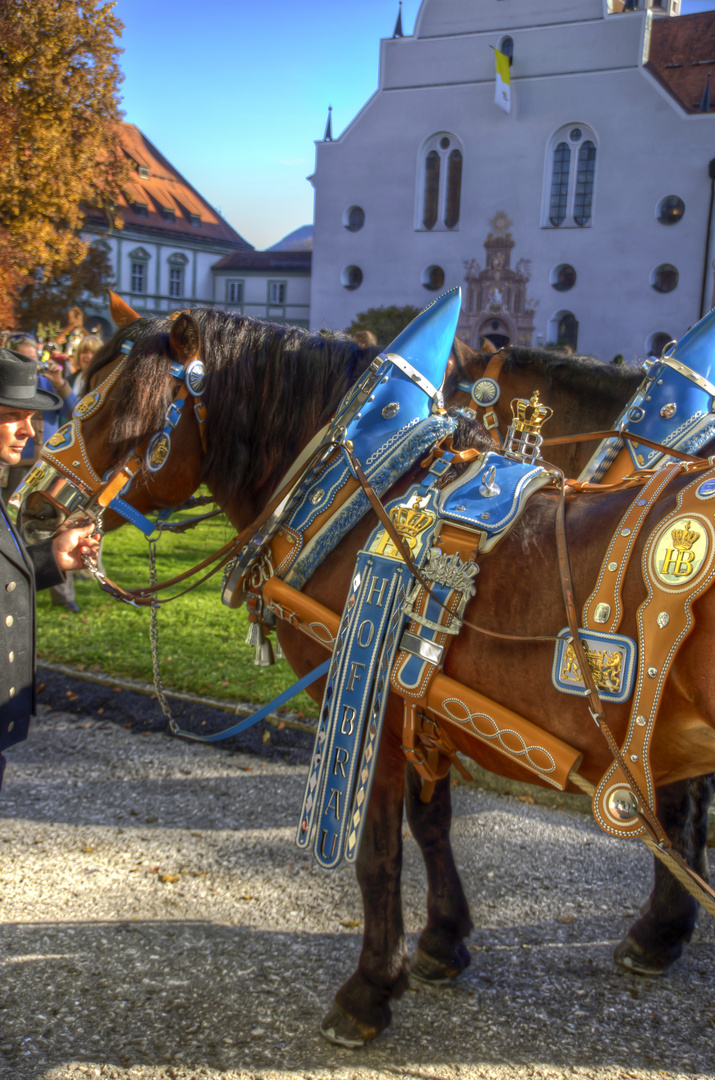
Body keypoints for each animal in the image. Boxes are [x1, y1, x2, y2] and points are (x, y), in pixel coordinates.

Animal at [28, 306, 715, 1045]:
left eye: (116, 403)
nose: (34, 505)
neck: (364, 500)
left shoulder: (370, 697)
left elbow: (377, 851)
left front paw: (369, 990)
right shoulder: (421, 701)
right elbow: (430, 822)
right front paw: (443, 939)